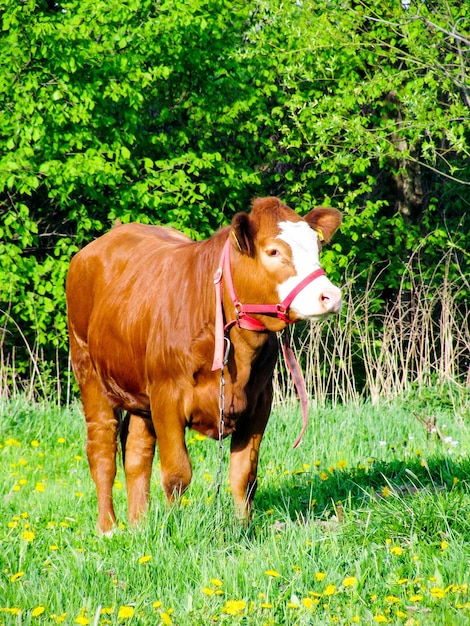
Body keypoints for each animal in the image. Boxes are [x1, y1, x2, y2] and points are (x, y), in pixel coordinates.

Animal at [66, 195, 342, 532]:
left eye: (317, 246)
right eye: (274, 251)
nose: (330, 295)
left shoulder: (259, 402)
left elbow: (243, 474)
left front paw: (243, 529)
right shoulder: (167, 396)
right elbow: (177, 473)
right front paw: (173, 529)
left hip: (140, 394)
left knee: (137, 454)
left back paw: (139, 524)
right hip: (87, 367)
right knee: (103, 448)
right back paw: (108, 528)